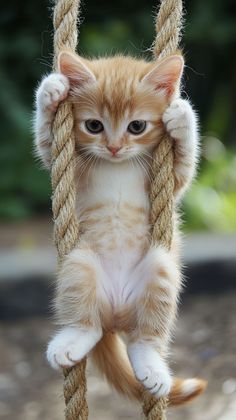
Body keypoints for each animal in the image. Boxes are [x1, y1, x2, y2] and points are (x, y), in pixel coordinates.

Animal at [33, 51, 205, 404]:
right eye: (94, 126)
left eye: (136, 126)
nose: (113, 147)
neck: (119, 165)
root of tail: (115, 315)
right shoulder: (67, 166)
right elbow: (45, 141)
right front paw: (51, 90)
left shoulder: (172, 182)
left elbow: (185, 165)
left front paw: (182, 116)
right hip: (80, 262)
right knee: (90, 324)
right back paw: (73, 339)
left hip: (160, 266)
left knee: (145, 337)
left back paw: (151, 365)